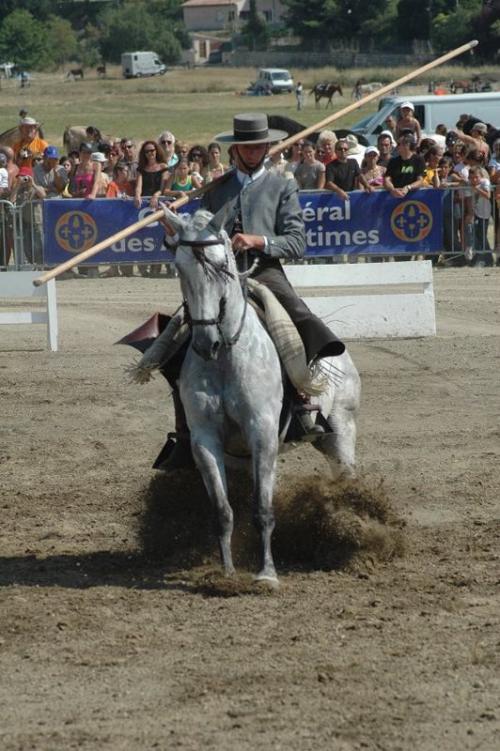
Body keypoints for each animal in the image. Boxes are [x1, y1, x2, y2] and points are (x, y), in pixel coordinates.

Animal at [133, 209, 360, 584]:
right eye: (179, 267)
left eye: (221, 264)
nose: (205, 342)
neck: (227, 356)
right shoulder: (205, 440)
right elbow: (223, 510)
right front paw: (226, 571)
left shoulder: (262, 433)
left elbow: (262, 509)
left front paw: (266, 574)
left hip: (340, 431)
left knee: (346, 475)